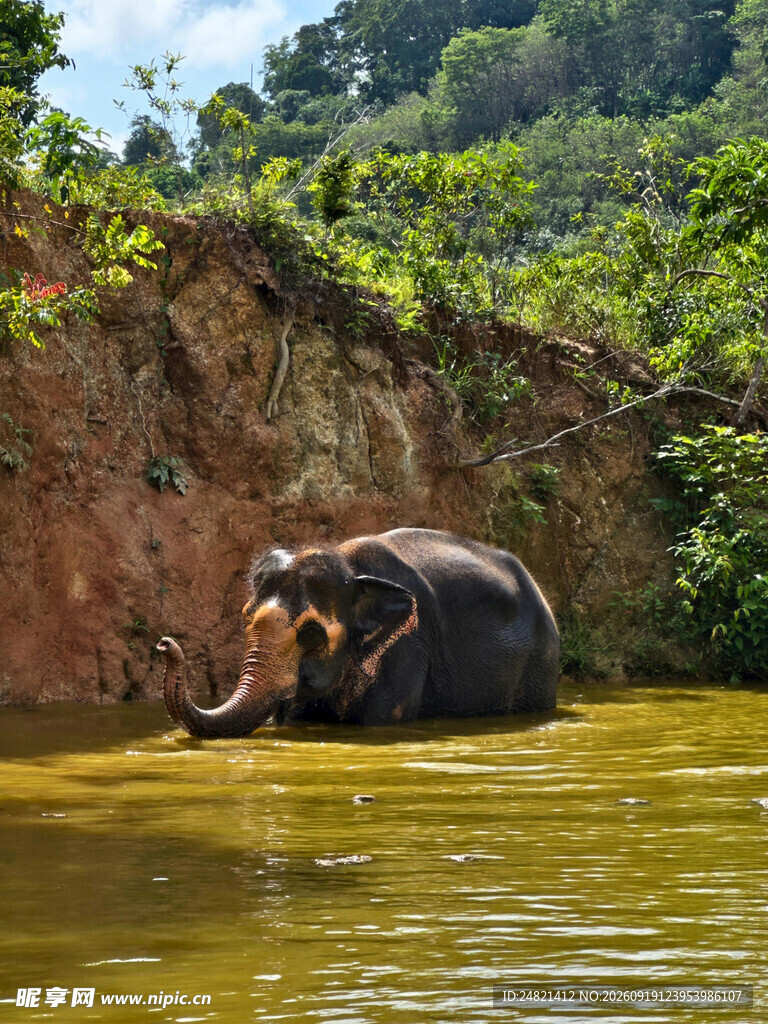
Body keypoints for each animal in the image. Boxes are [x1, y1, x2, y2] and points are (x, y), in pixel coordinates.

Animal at [158, 528, 559, 738]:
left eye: (311, 634)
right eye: (244, 620)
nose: (163, 643)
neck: (350, 566)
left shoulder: (409, 649)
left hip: (540, 664)